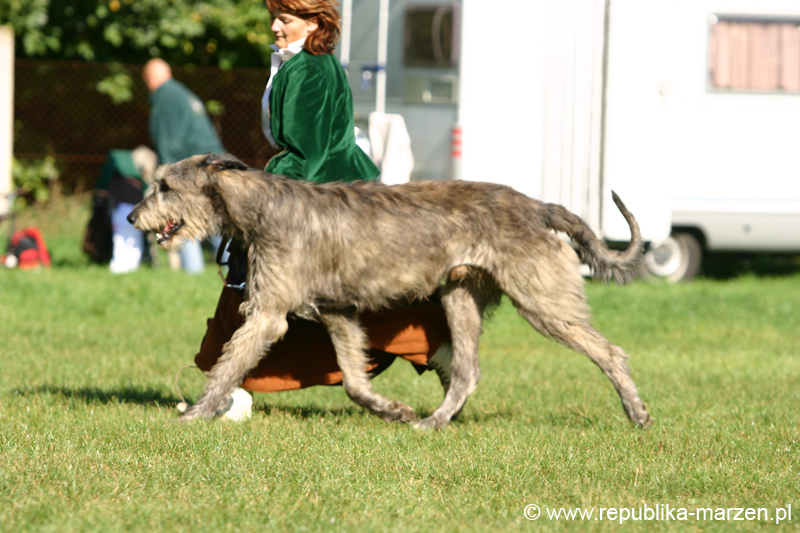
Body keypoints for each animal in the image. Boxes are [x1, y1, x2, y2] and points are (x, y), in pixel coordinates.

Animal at [126, 152, 648, 426]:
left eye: (165, 186)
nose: (130, 217)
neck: (261, 206)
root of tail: (539, 207)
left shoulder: (269, 314)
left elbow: (226, 366)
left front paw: (194, 415)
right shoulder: (336, 312)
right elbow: (354, 382)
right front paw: (390, 409)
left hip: (542, 300)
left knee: (609, 351)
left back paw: (637, 411)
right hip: (460, 296)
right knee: (466, 371)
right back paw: (433, 421)